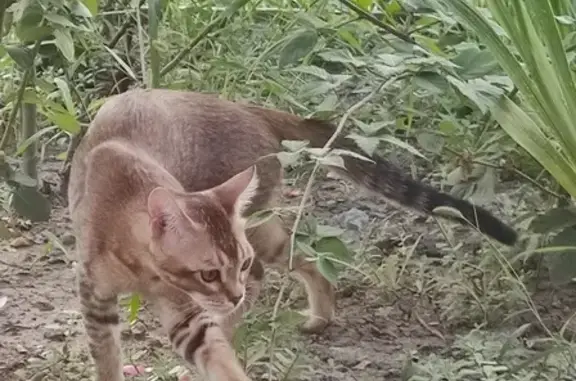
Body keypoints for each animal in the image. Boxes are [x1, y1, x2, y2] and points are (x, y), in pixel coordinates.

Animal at [68, 87, 516, 378]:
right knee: (302, 258)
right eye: (208, 273)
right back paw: (315, 316)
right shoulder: (96, 296)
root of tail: (248, 108)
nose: (232, 292)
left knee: (276, 271)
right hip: (263, 231)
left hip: (258, 229)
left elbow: (216, 354)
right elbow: (106, 358)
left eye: (229, 267)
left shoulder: (188, 310)